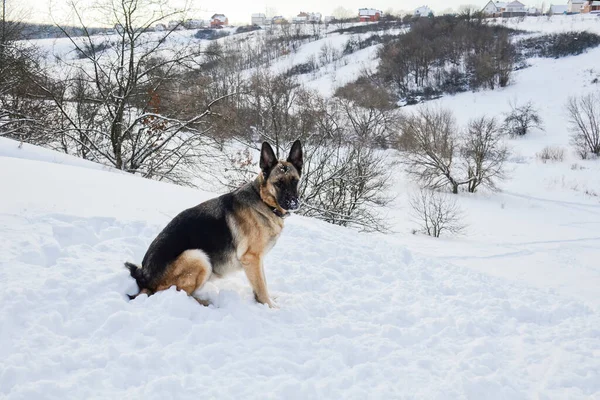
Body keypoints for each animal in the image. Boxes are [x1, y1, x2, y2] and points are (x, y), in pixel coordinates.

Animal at [125, 141, 302, 310]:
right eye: (279, 183)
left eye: (295, 181)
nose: (294, 203)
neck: (263, 201)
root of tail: (144, 277)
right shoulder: (252, 259)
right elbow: (261, 287)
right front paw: (270, 307)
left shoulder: (257, 261)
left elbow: (263, 283)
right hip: (198, 257)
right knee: (173, 292)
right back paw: (205, 303)